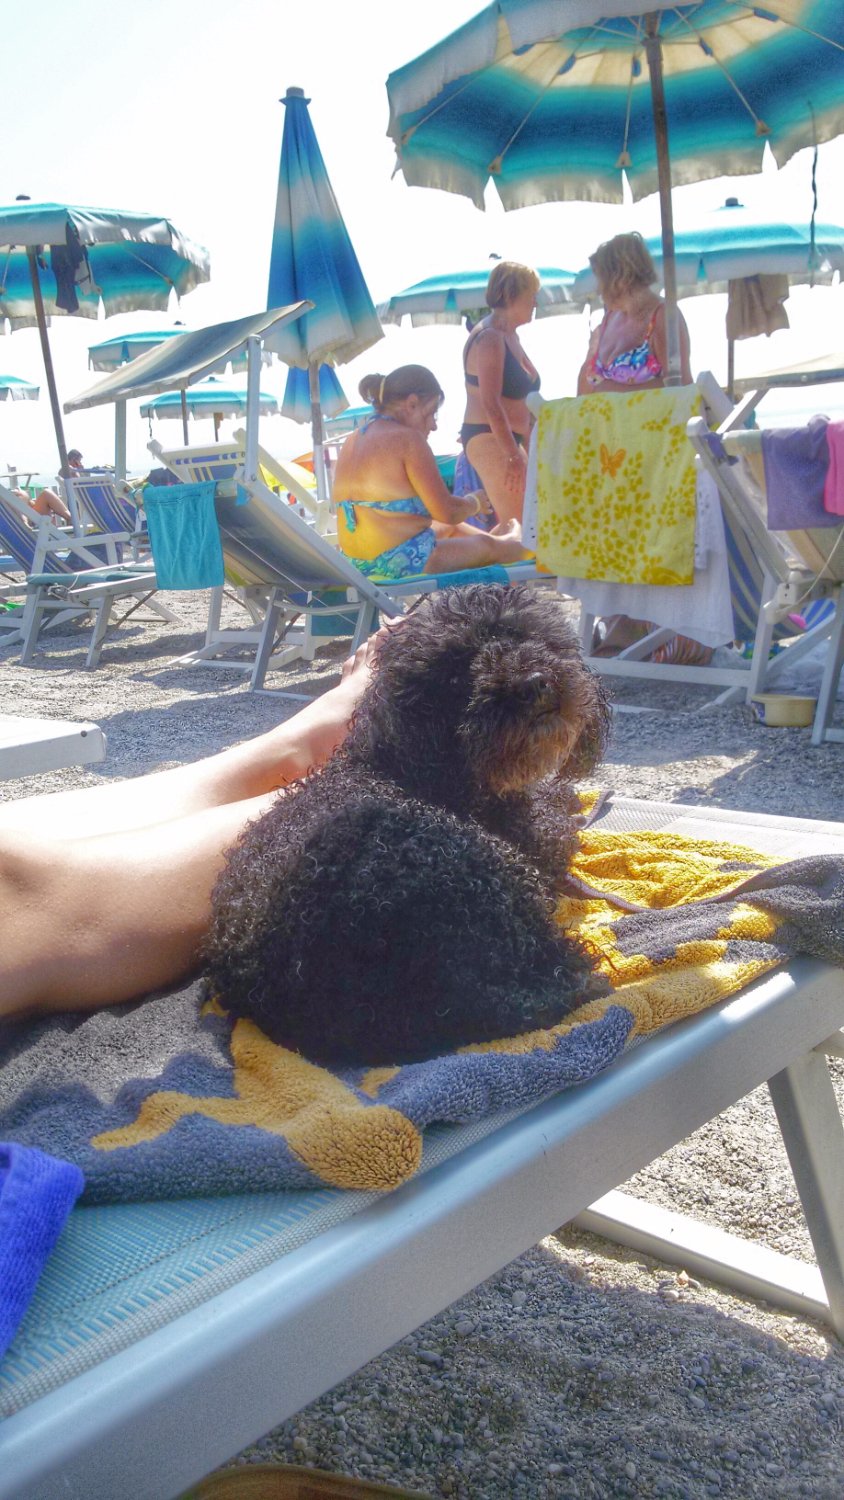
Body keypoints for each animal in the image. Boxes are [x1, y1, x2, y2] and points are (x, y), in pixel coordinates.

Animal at [205, 585, 614, 1068]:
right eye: (456, 672)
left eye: (527, 635)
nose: (532, 682)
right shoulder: (534, 839)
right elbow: (557, 819)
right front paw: (566, 800)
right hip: (484, 876)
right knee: (540, 984)